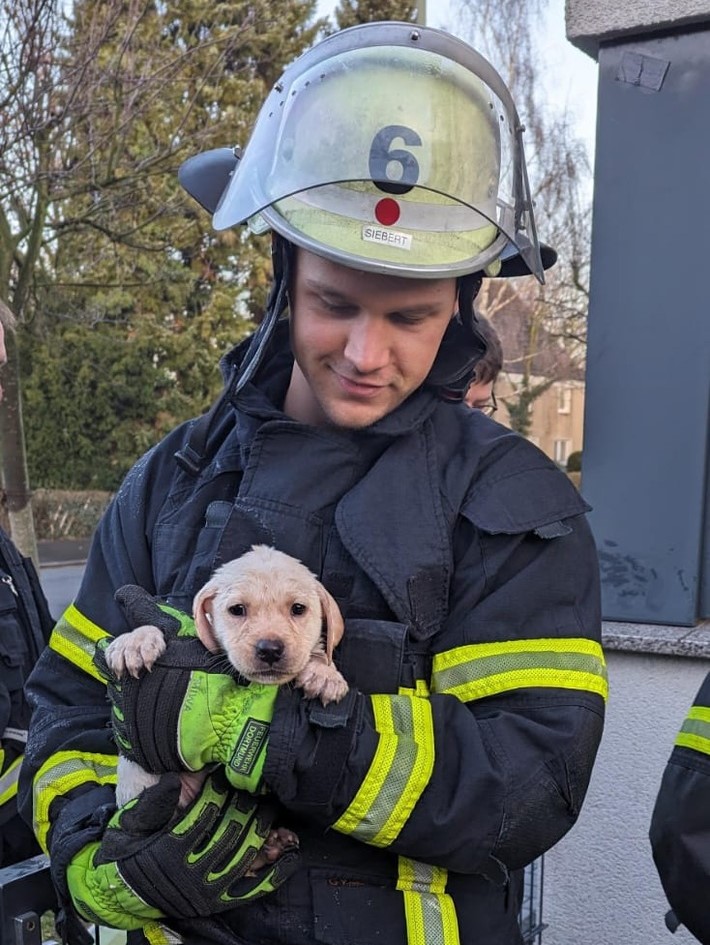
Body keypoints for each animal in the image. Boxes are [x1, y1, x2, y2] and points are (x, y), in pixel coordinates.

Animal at [105, 544, 350, 872]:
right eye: (237, 610)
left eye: (298, 609)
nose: (270, 649)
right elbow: (158, 629)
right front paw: (134, 643)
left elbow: (319, 653)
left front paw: (324, 674)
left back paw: (269, 847)